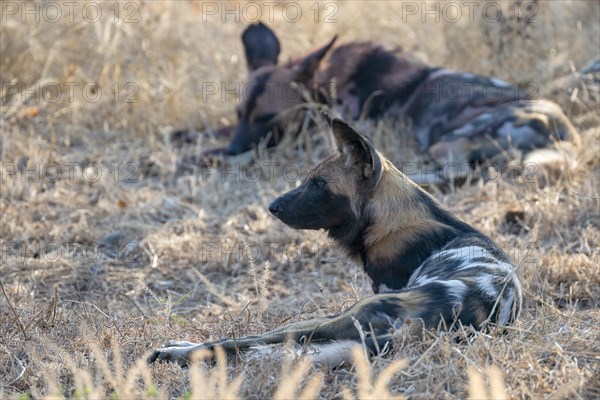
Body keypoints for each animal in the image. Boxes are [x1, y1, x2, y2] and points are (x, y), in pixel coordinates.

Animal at [151, 114, 524, 368]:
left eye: (319, 184)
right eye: (307, 179)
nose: (273, 206)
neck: (390, 219)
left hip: (328, 319)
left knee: (241, 340)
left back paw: (175, 350)